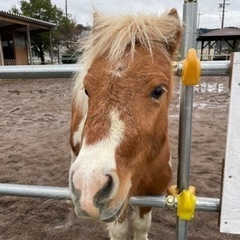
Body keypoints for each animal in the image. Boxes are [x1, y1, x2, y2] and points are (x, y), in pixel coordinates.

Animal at [69, 8, 182, 239]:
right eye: (87, 89)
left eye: (158, 90)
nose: (88, 186)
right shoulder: (118, 207)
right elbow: (119, 230)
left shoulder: (149, 196)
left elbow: (141, 226)